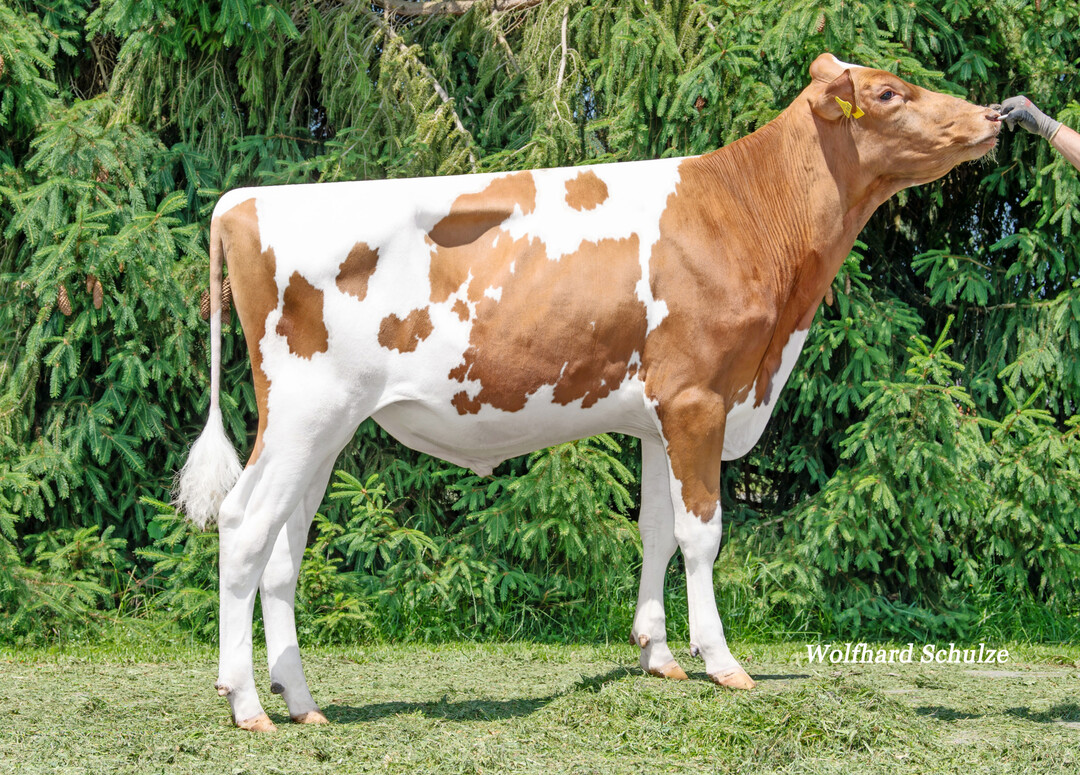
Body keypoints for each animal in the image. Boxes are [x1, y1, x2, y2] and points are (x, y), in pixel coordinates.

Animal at [175, 53, 1001, 731]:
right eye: (889, 93)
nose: (994, 115)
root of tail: (244, 199)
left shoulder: (660, 417)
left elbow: (657, 530)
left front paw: (657, 656)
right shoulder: (699, 398)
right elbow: (703, 533)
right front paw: (721, 662)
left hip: (328, 427)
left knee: (285, 546)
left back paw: (301, 700)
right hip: (305, 410)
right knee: (245, 525)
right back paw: (246, 703)